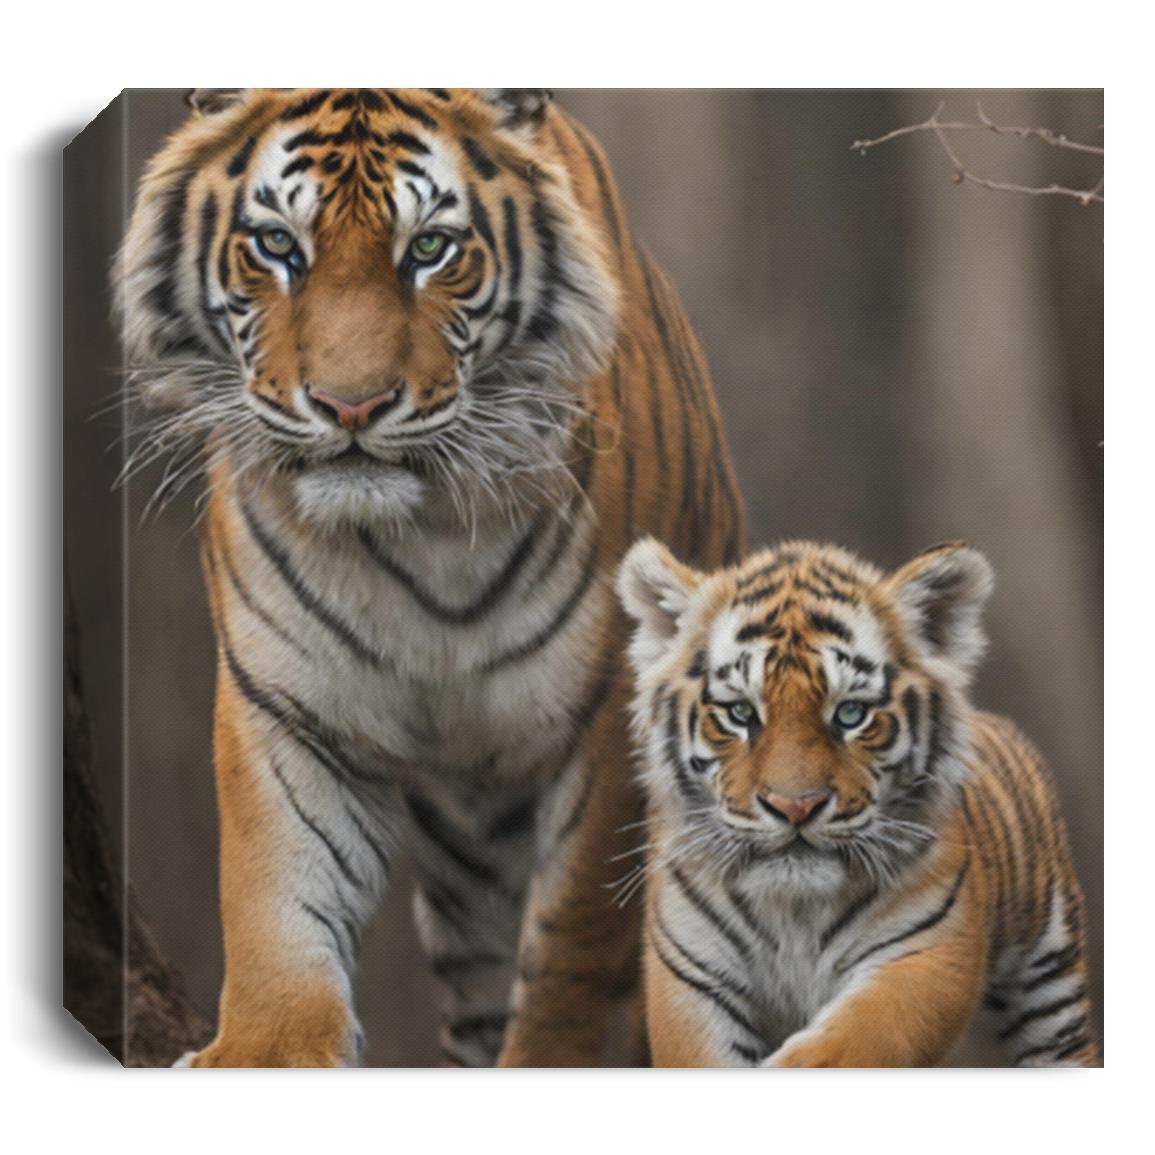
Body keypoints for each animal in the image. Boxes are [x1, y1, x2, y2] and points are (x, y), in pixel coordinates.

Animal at [118, 88, 745, 1067]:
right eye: (277, 245)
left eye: (429, 249)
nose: (350, 407)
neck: (422, 534)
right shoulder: (289, 702)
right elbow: (273, 890)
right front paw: (265, 1048)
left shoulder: (609, 721)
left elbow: (571, 946)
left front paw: (552, 1059)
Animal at [616, 536, 1098, 1067]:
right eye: (740, 712)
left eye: (851, 714)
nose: (796, 806)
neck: (794, 912)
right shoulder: (693, 977)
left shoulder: (927, 953)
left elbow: (850, 1043)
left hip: (1050, 992)